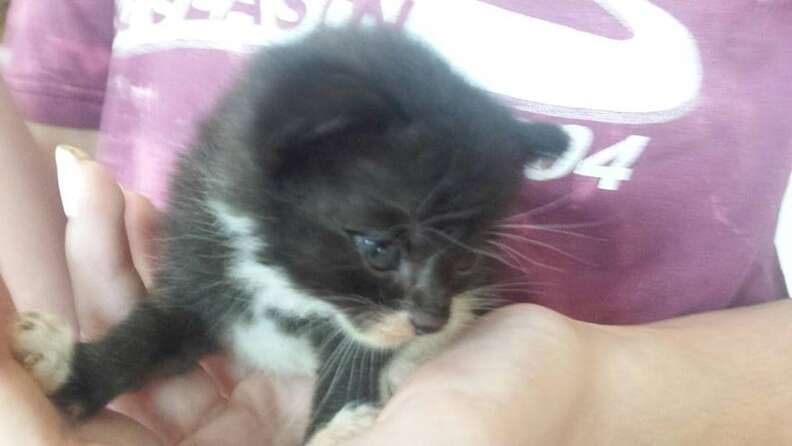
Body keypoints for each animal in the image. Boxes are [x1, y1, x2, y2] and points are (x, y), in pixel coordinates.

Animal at [12, 26, 568, 444]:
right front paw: (68, 365)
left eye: (467, 259)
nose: (432, 321)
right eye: (380, 248)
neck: (285, 288)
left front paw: (335, 430)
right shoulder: (200, 260)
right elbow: (151, 330)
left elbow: (357, 365)